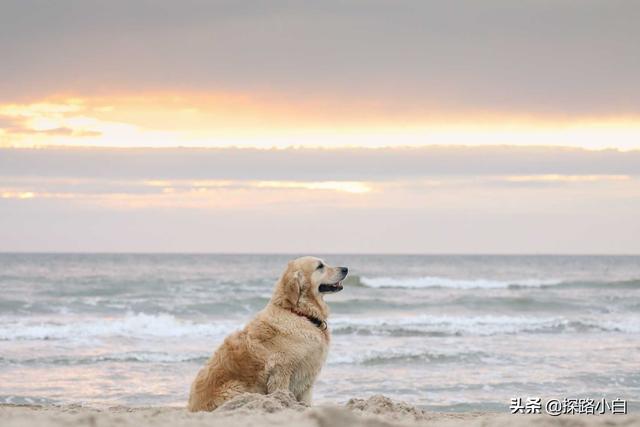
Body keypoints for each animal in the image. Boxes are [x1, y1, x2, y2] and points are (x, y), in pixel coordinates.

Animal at [188, 256, 348, 412]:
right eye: (320, 266)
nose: (345, 268)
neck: (297, 312)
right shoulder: (281, 371)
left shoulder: (307, 379)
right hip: (237, 387)